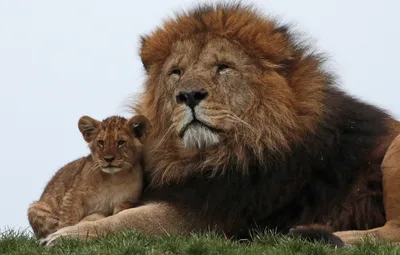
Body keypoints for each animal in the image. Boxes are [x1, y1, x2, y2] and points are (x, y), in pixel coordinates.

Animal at [42, 2, 400, 246]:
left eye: (223, 67)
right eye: (176, 72)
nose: (189, 95)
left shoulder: (208, 216)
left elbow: (129, 222)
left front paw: (64, 236)